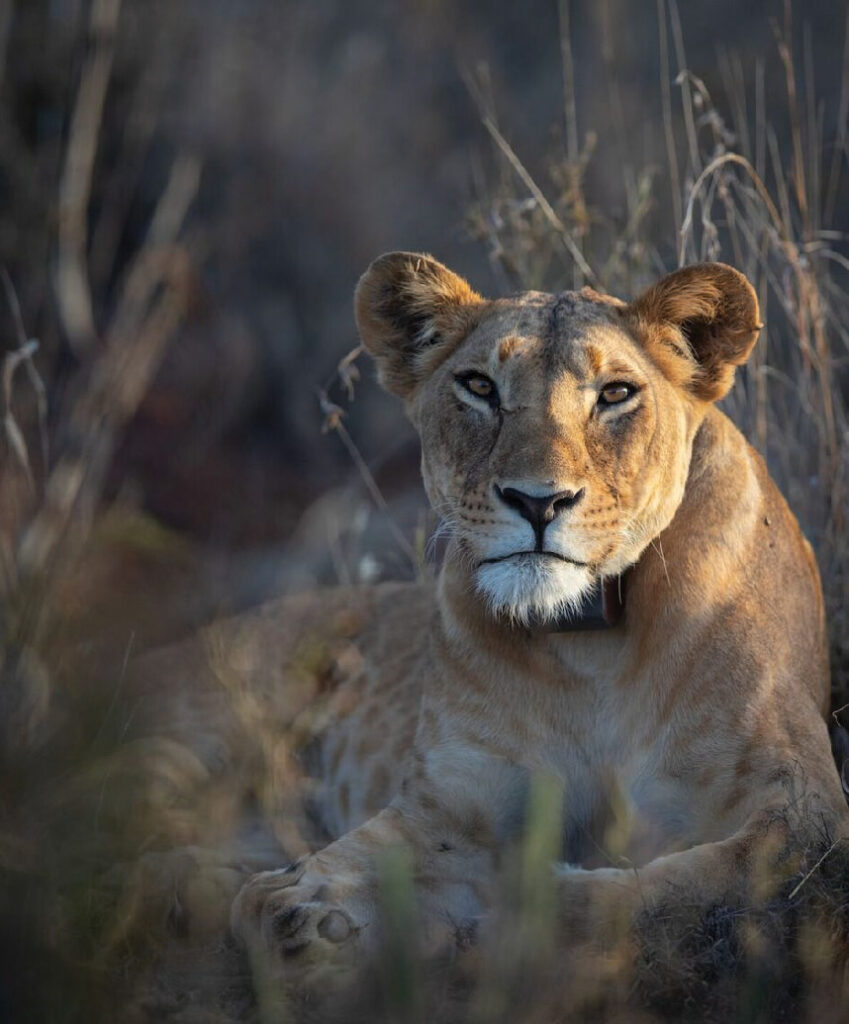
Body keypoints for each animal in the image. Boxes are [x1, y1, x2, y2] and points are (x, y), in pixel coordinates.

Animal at [230, 252, 848, 980]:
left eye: (614, 393)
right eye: (478, 386)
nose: (537, 501)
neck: (589, 646)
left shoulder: (804, 809)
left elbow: (693, 880)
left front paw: (532, 909)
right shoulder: (455, 800)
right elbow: (351, 863)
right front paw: (302, 901)